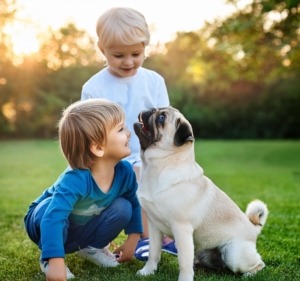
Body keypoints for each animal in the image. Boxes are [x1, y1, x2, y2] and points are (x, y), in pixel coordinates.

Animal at [133, 106, 268, 280]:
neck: (160, 166)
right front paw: (147, 272)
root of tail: (253, 228)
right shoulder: (154, 226)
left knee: (259, 264)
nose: (149, 110)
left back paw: (249, 275)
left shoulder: (182, 229)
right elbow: (153, 253)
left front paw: (184, 278)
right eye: (156, 110)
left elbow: (183, 262)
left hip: (234, 254)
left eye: (161, 118)